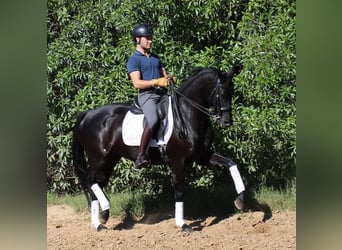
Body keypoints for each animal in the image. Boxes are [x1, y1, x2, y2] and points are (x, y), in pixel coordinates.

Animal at [73, 65, 247, 231]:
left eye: (232, 92)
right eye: (222, 93)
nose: (227, 122)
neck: (187, 114)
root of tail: (87, 114)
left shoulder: (202, 156)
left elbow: (231, 163)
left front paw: (240, 200)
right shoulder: (178, 161)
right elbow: (179, 190)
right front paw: (182, 224)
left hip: (110, 160)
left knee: (98, 183)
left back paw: (102, 218)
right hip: (98, 158)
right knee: (90, 180)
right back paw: (101, 218)